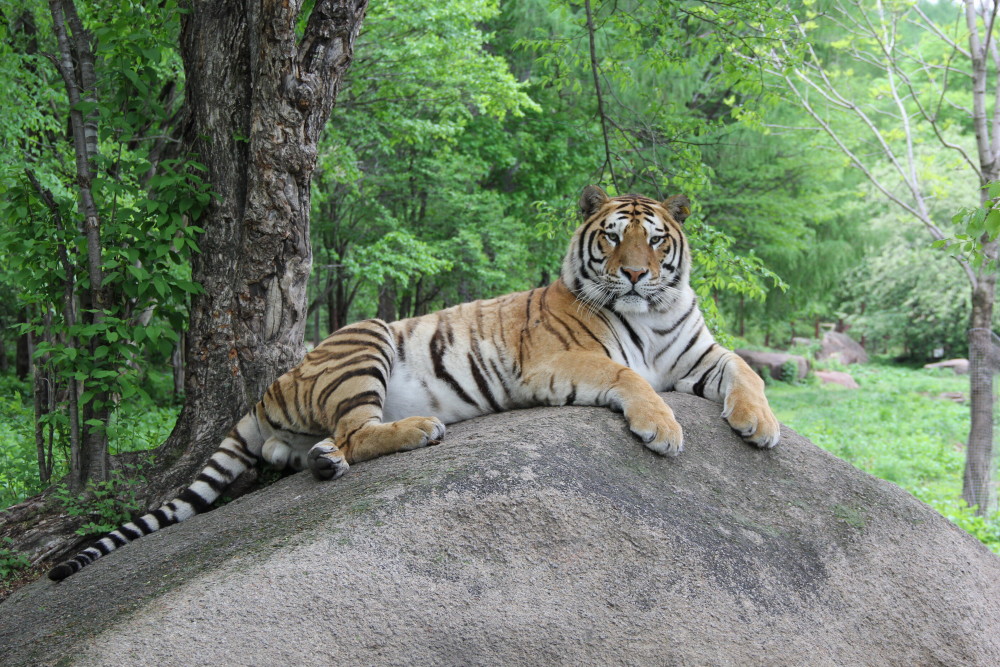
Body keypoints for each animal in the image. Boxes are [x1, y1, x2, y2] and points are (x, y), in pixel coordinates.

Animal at [47, 185, 780, 580]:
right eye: (613, 238)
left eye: (655, 241)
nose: (632, 275)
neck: (650, 315)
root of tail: (266, 388)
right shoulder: (553, 360)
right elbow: (626, 372)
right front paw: (663, 428)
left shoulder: (698, 352)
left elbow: (745, 367)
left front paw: (761, 425)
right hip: (365, 336)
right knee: (358, 429)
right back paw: (421, 429)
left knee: (319, 445)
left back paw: (322, 462)